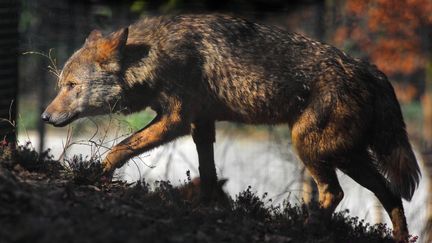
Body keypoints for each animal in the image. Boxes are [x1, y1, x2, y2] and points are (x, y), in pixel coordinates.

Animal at [41, 14, 418, 241]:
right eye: (60, 85)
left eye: (72, 86)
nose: (44, 117)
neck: (154, 56)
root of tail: (369, 69)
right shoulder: (201, 124)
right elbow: (207, 174)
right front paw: (206, 210)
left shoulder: (175, 120)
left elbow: (121, 147)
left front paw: (95, 173)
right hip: (347, 156)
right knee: (390, 194)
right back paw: (401, 238)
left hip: (312, 148)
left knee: (335, 193)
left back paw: (299, 228)